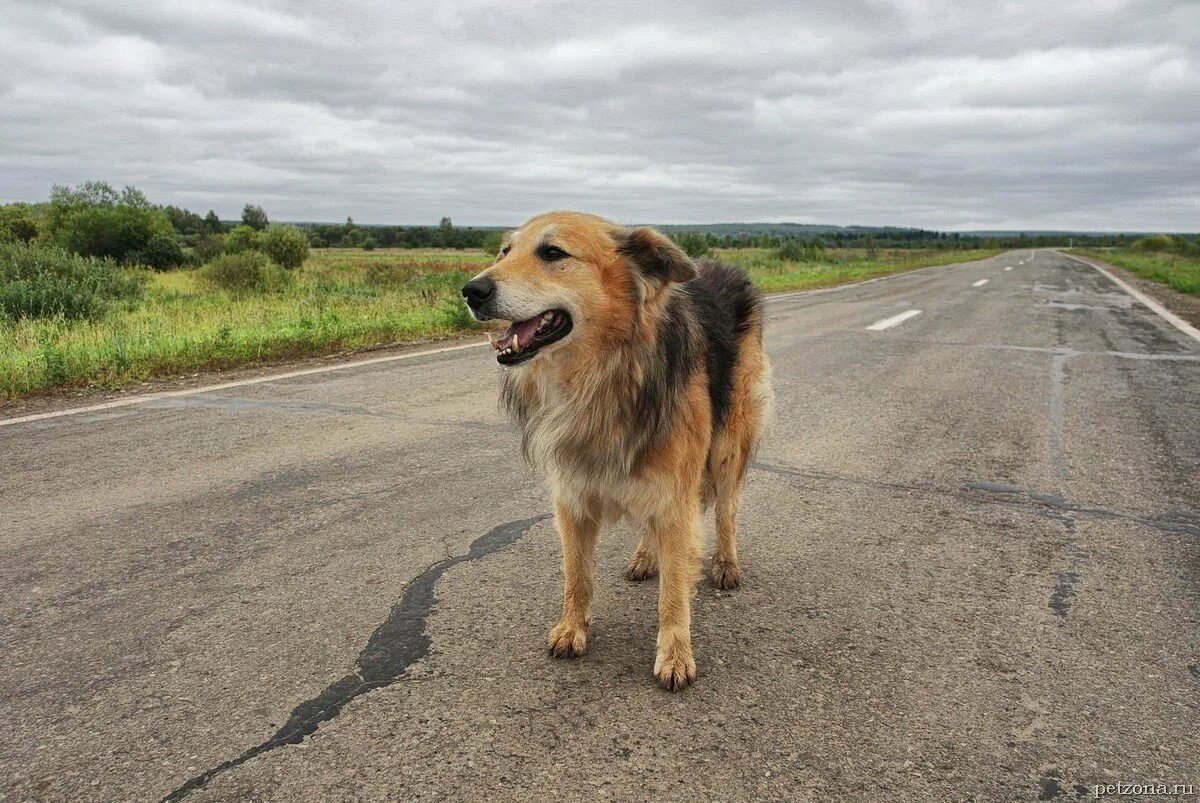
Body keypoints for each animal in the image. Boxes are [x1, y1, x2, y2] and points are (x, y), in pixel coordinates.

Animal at [458, 212, 768, 691]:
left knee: (726, 509)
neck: (602, 373)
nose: (471, 291)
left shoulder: (676, 492)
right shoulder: (573, 497)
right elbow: (577, 575)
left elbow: (674, 589)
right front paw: (572, 628)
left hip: (727, 446)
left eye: (552, 252)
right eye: (504, 252)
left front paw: (675, 654)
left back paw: (725, 563)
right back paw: (645, 556)